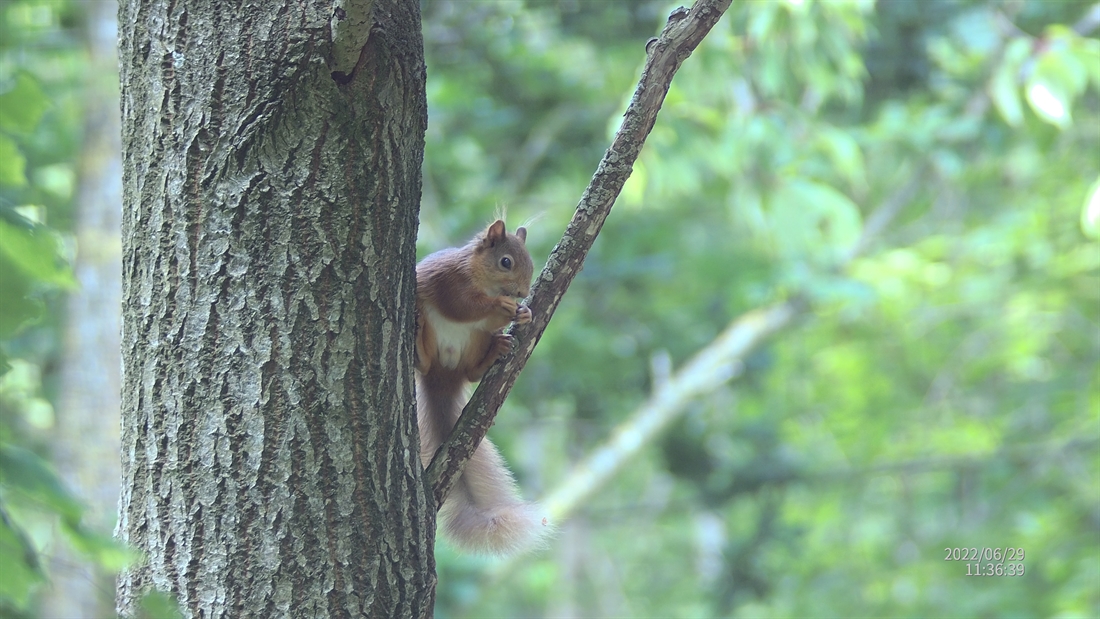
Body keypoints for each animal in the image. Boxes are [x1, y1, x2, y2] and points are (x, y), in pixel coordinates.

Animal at [413, 219, 550, 554]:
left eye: (530, 262)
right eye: (506, 262)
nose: (522, 293)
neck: (480, 278)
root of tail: (444, 378)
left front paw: (525, 313)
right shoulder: (448, 281)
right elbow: (461, 307)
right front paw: (501, 305)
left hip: (476, 341)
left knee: (472, 373)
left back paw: (494, 352)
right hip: (430, 329)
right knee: (425, 362)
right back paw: (420, 352)